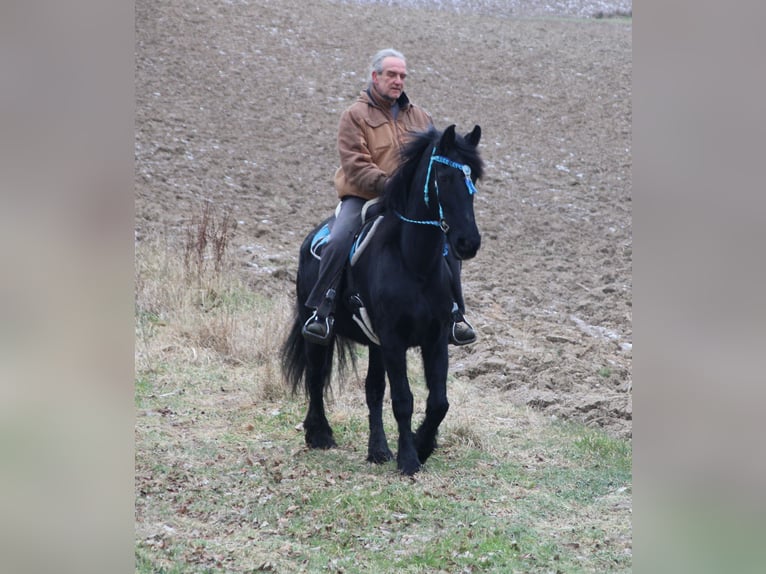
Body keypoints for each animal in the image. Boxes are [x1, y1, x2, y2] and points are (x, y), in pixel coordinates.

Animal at [282, 125, 486, 476]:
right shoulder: (393, 340)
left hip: (376, 346)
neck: (414, 262)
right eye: (444, 177)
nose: (467, 243)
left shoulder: (434, 339)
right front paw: (409, 459)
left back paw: (377, 450)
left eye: (473, 179)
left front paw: (421, 445)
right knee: (316, 376)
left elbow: (438, 402)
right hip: (319, 332)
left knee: (373, 389)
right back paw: (318, 433)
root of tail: (314, 235)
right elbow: (403, 400)